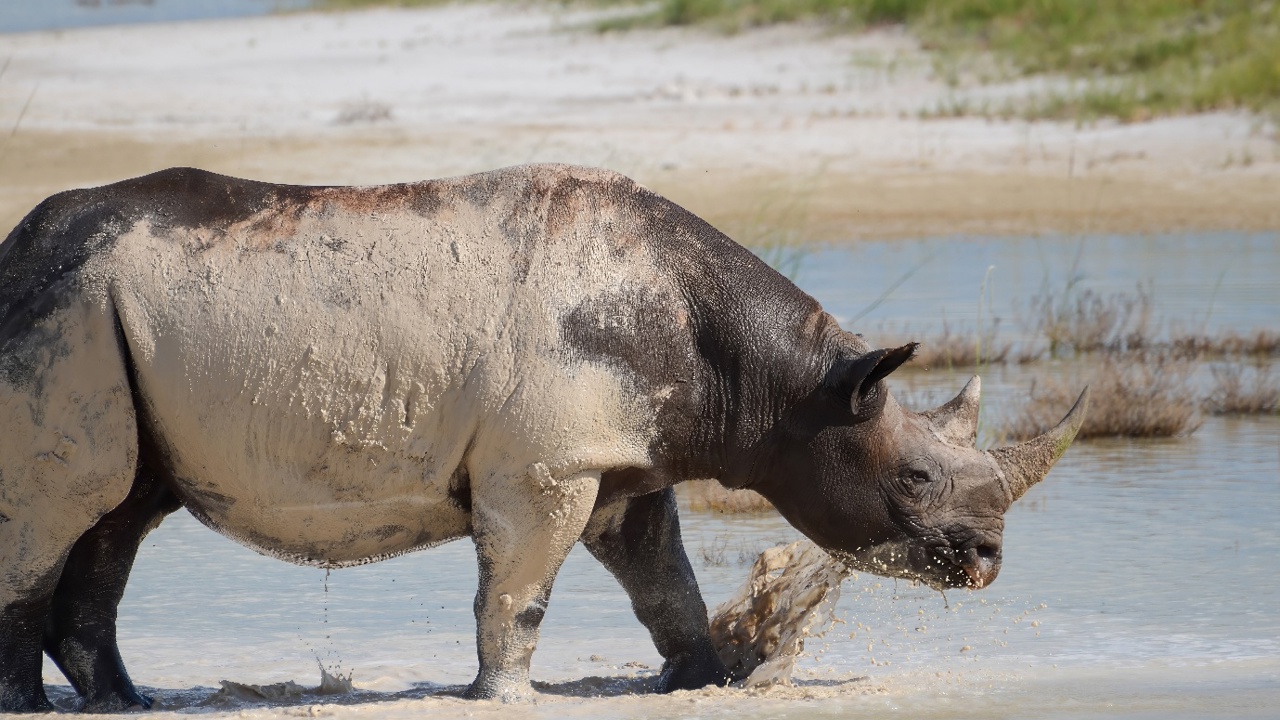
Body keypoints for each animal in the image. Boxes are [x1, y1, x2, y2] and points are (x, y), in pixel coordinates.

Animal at [0, 164, 1086, 712]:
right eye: (914, 476)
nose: (986, 561)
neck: (784, 386)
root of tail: (16, 248)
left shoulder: (622, 456)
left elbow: (664, 583)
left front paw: (702, 678)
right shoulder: (543, 464)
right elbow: (517, 591)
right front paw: (504, 693)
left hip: (101, 318)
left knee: (117, 515)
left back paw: (127, 706)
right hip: (64, 313)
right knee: (55, 514)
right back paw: (41, 707)